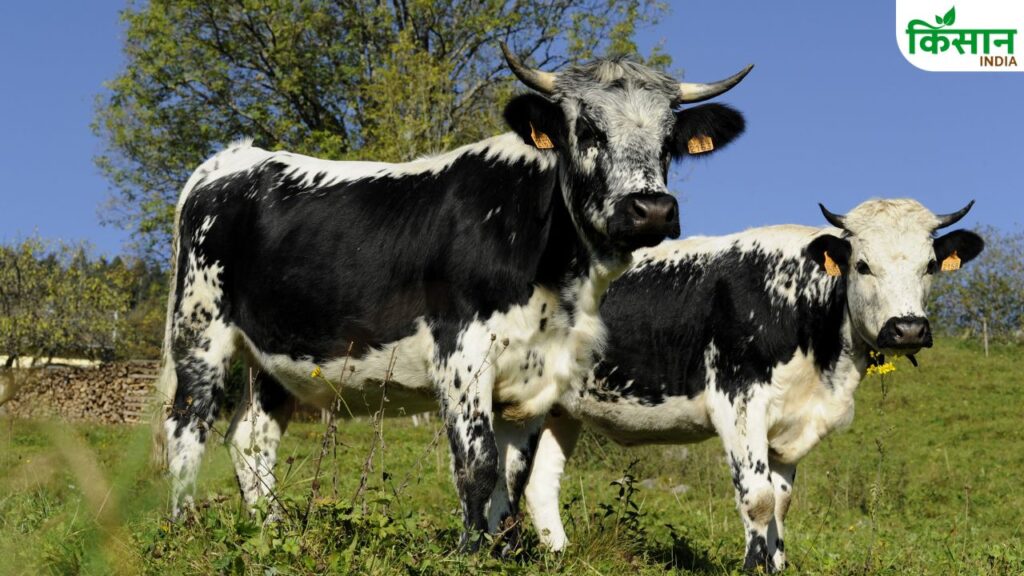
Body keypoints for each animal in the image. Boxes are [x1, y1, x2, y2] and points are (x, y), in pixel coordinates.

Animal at [155, 43, 751, 550]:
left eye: (670, 139)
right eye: (587, 129)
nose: (651, 209)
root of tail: (232, 159)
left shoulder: (538, 374)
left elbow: (514, 473)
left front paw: (503, 549)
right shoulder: (462, 354)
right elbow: (477, 464)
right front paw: (470, 551)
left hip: (276, 354)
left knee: (251, 437)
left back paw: (272, 532)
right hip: (200, 331)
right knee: (187, 424)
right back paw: (183, 530)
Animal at [523, 198, 984, 570]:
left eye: (929, 266)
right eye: (863, 265)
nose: (908, 328)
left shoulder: (791, 419)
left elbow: (781, 502)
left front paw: (775, 565)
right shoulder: (738, 401)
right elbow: (758, 499)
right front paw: (752, 566)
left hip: (558, 409)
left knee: (540, 481)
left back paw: (557, 555)